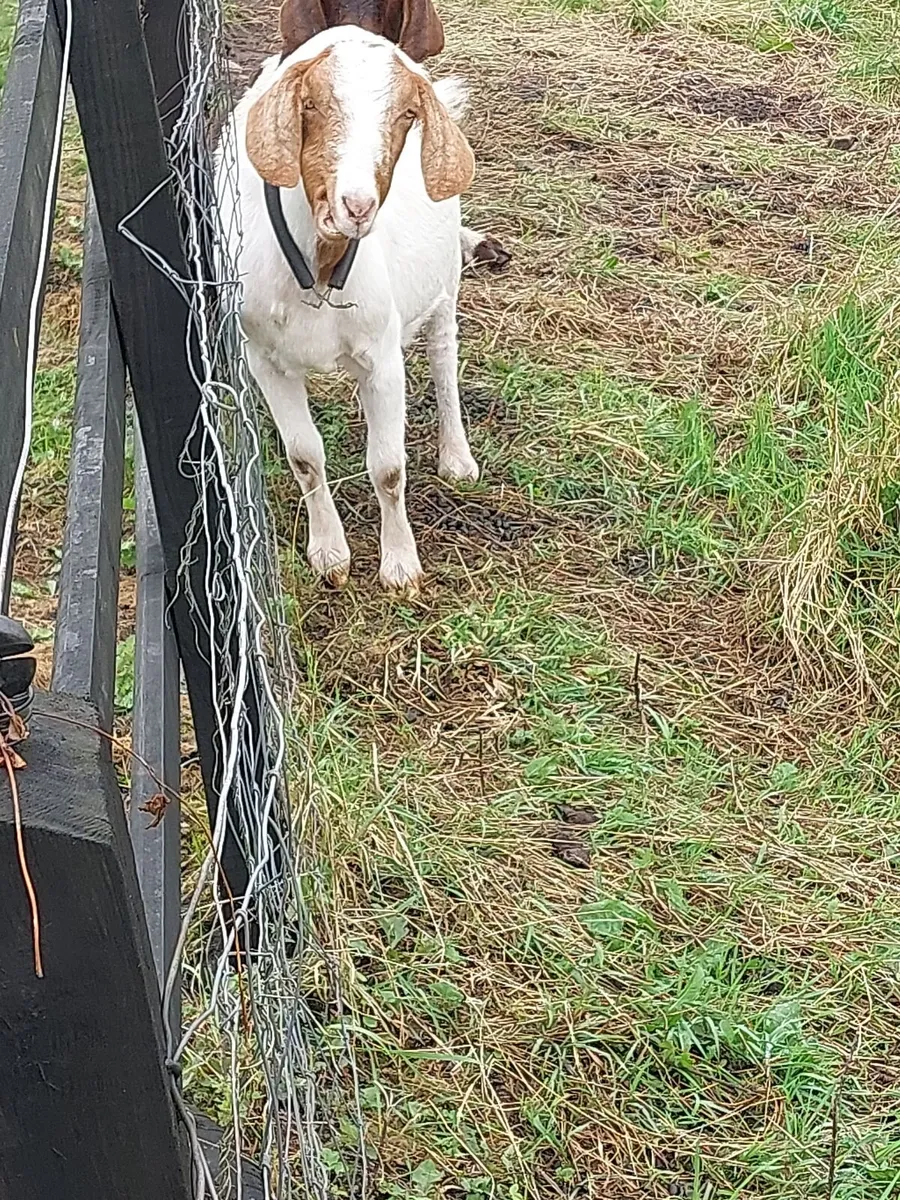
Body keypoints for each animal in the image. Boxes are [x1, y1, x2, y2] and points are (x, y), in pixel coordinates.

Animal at [217, 26, 479, 593]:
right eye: (310, 104)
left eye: (407, 114)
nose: (355, 206)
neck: (318, 269)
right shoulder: (264, 359)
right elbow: (304, 456)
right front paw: (329, 554)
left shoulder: (381, 355)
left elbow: (388, 467)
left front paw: (400, 566)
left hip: (444, 284)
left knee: (444, 359)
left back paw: (456, 456)